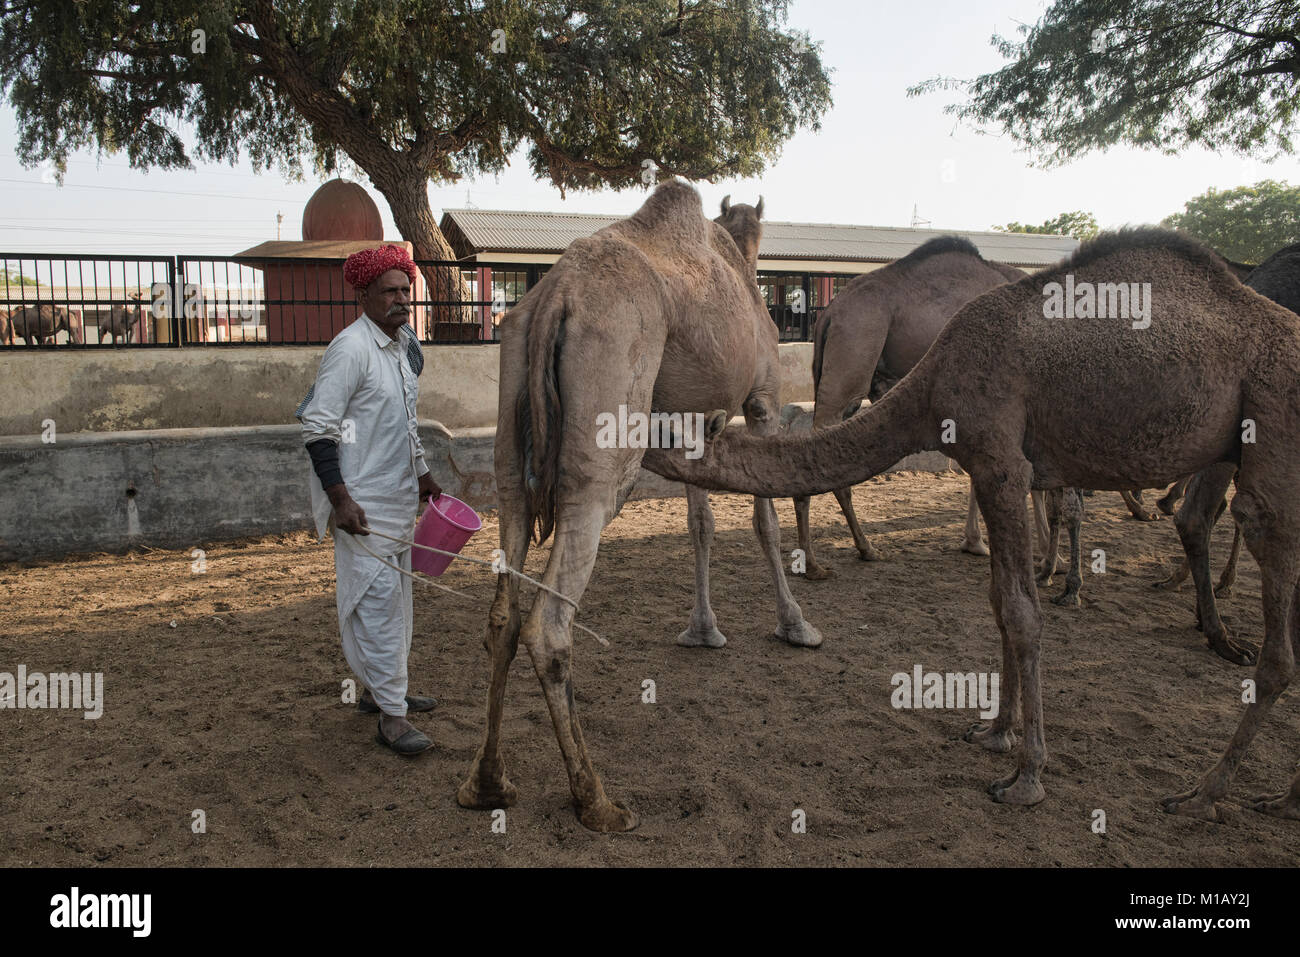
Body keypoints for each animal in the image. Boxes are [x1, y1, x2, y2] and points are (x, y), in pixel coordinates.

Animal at [456, 180, 820, 832]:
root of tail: (555, 298)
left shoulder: (697, 418)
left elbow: (702, 521)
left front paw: (703, 629)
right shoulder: (762, 396)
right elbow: (764, 518)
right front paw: (795, 623)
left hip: (512, 437)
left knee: (504, 610)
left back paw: (488, 783)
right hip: (610, 428)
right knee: (550, 621)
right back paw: (596, 800)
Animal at [644, 228, 1300, 821]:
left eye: (658, 429)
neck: (937, 382)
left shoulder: (1002, 460)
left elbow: (1022, 611)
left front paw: (1027, 776)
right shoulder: (989, 466)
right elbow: (998, 600)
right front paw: (995, 731)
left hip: (1270, 428)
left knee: (1269, 605)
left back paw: (1204, 791)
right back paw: (1274, 797)